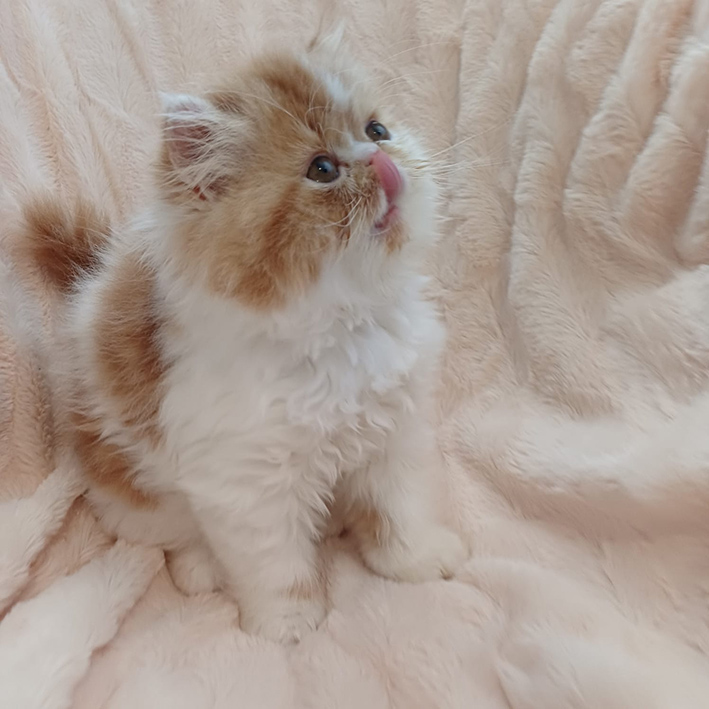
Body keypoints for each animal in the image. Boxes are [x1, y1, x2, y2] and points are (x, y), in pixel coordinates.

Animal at [23, 35, 467, 643]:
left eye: (377, 130)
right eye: (322, 169)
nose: (382, 161)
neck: (343, 325)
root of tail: (94, 275)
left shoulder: (393, 433)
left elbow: (396, 511)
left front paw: (414, 561)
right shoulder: (248, 483)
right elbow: (277, 568)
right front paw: (287, 627)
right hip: (131, 488)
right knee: (171, 535)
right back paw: (201, 569)